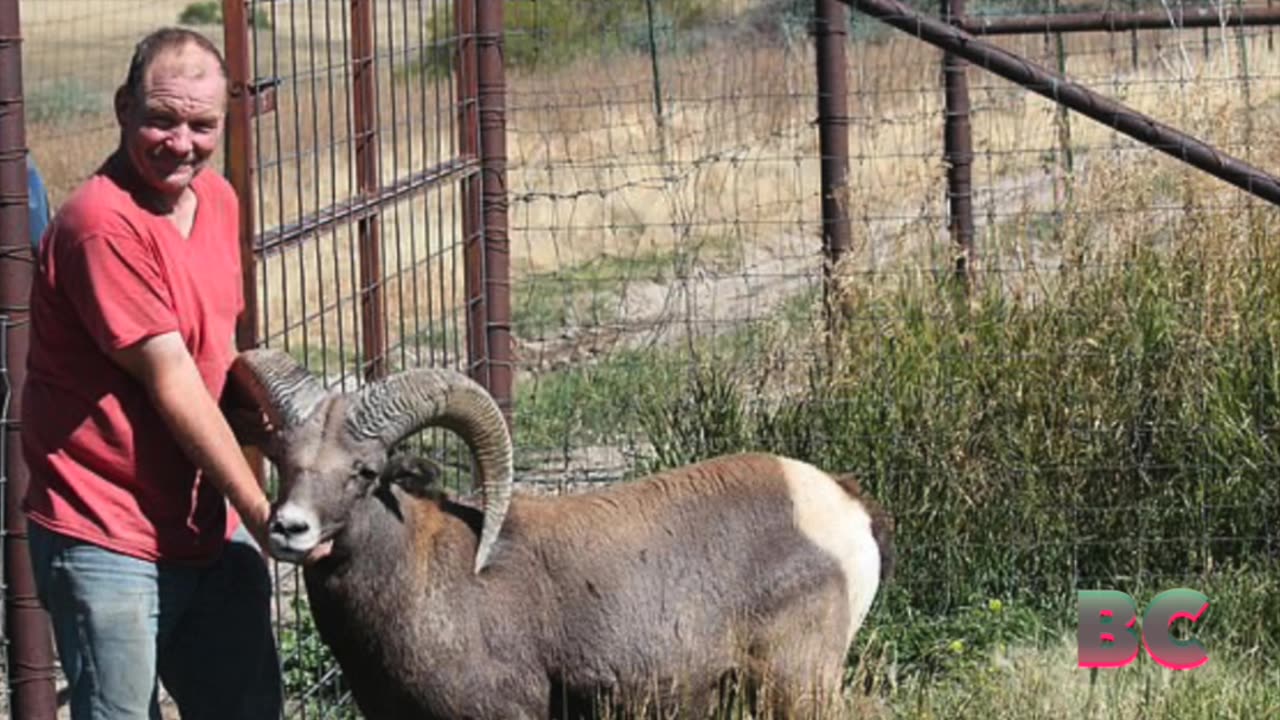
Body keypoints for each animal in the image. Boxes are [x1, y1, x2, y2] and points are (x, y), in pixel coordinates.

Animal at [227, 345, 890, 712]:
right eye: (284, 460)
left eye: (364, 472)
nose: (289, 529)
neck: (421, 582)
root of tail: (841, 505)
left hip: (796, 687)